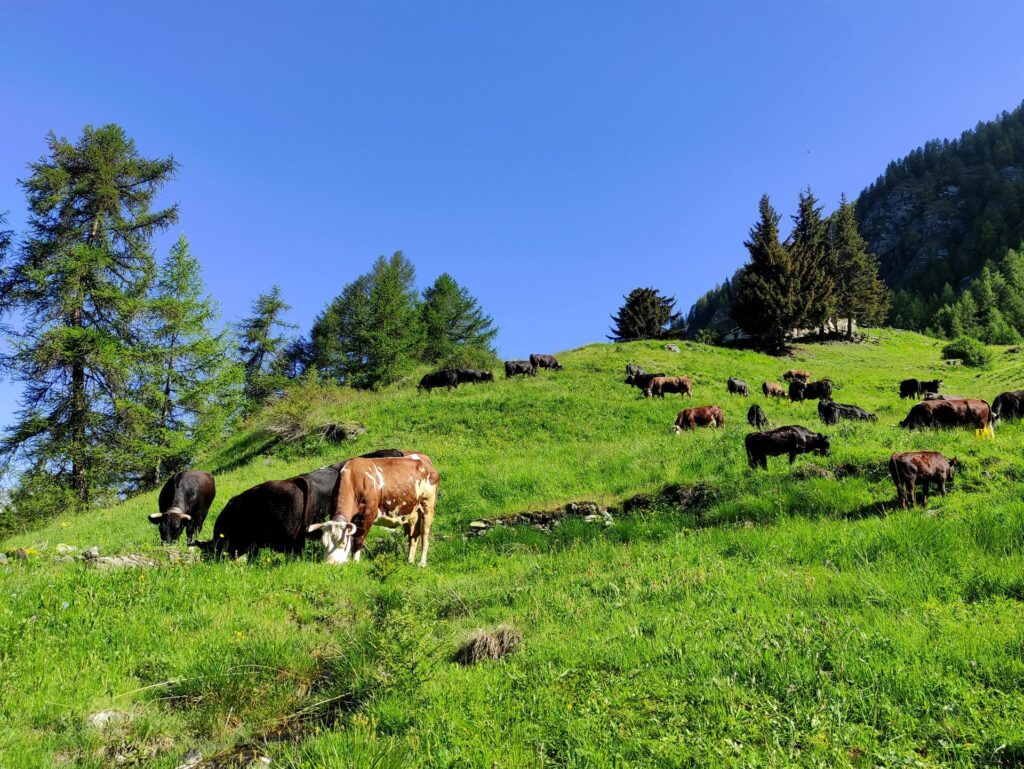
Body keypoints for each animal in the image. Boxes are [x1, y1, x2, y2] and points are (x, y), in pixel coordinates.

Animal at [303, 450, 440, 573]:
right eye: (323, 544)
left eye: (343, 543)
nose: (331, 563)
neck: (354, 479)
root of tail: (424, 458)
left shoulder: (369, 515)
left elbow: (358, 540)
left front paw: (355, 562)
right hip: (411, 513)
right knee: (413, 536)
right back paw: (409, 561)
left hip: (428, 506)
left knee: (425, 535)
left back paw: (422, 563)